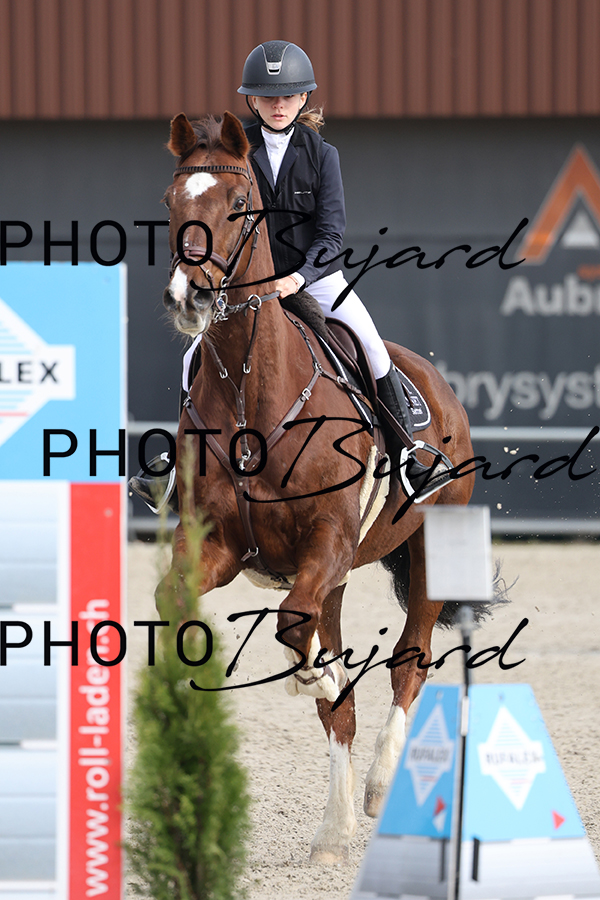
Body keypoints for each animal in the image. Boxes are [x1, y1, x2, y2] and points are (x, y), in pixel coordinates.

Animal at [159, 111, 476, 864]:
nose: (190, 298)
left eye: (238, 206)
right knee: (343, 701)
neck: (252, 396)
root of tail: (441, 386)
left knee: (408, 663)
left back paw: (379, 788)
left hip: (427, 551)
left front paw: (316, 671)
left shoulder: (327, 542)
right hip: (333, 577)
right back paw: (333, 831)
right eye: (172, 204)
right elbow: (177, 602)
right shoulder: (219, 547)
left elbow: (296, 634)